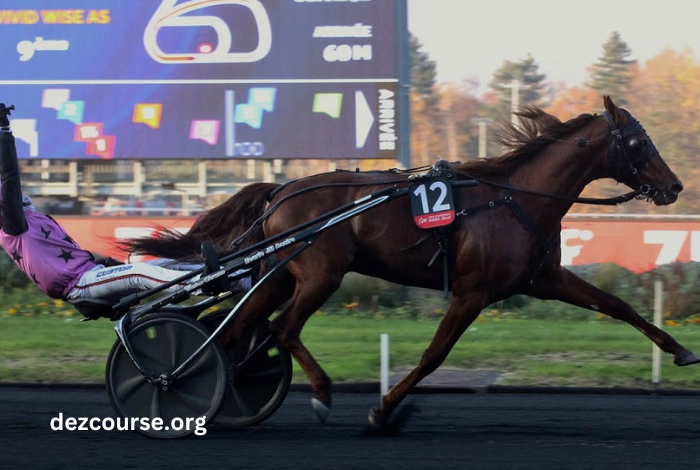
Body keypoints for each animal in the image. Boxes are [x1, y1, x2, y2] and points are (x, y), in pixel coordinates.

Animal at [126, 97, 696, 432]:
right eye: (639, 141)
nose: (674, 185)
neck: (515, 197)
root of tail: (283, 189)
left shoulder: (545, 278)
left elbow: (618, 305)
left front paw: (681, 351)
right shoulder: (474, 291)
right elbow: (433, 355)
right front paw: (383, 409)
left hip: (282, 273)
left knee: (240, 326)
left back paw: (210, 384)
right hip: (320, 274)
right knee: (281, 328)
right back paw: (306, 392)